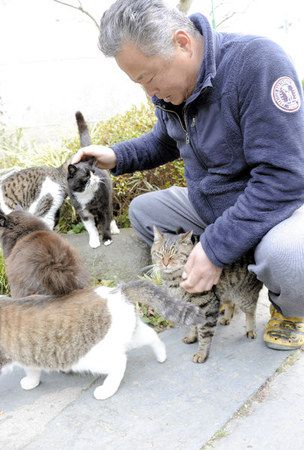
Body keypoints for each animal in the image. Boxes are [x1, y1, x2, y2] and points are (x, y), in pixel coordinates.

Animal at [0, 278, 209, 400]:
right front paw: (31, 382)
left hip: (88, 357)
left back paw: (106, 390)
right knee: (151, 335)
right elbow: (32, 369)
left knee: (119, 363)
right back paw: (161, 355)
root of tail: (117, 292)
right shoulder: (25, 355)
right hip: (129, 334)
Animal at [67, 110, 119, 248]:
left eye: (94, 172)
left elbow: (105, 223)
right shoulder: (83, 213)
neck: (86, 195)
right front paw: (95, 241)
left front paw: (107, 238)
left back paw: (114, 229)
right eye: (86, 175)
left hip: (109, 198)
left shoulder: (103, 208)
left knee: (111, 216)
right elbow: (91, 229)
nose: (95, 178)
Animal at [152, 227, 264, 364]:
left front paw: (202, 353)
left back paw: (250, 330)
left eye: (175, 254)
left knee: (250, 312)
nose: (165, 263)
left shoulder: (207, 307)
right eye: (160, 254)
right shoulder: (189, 306)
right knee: (230, 304)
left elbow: (205, 333)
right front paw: (191, 337)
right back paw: (226, 318)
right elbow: (192, 325)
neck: (174, 281)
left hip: (245, 297)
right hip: (225, 291)